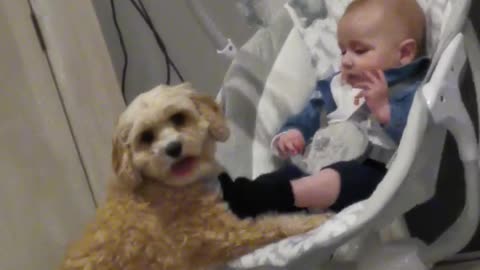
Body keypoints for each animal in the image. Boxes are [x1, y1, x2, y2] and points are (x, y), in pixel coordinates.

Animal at [61, 83, 330, 268]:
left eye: (178, 118)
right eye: (146, 137)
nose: (173, 148)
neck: (165, 186)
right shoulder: (227, 234)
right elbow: (276, 224)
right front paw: (313, 221)